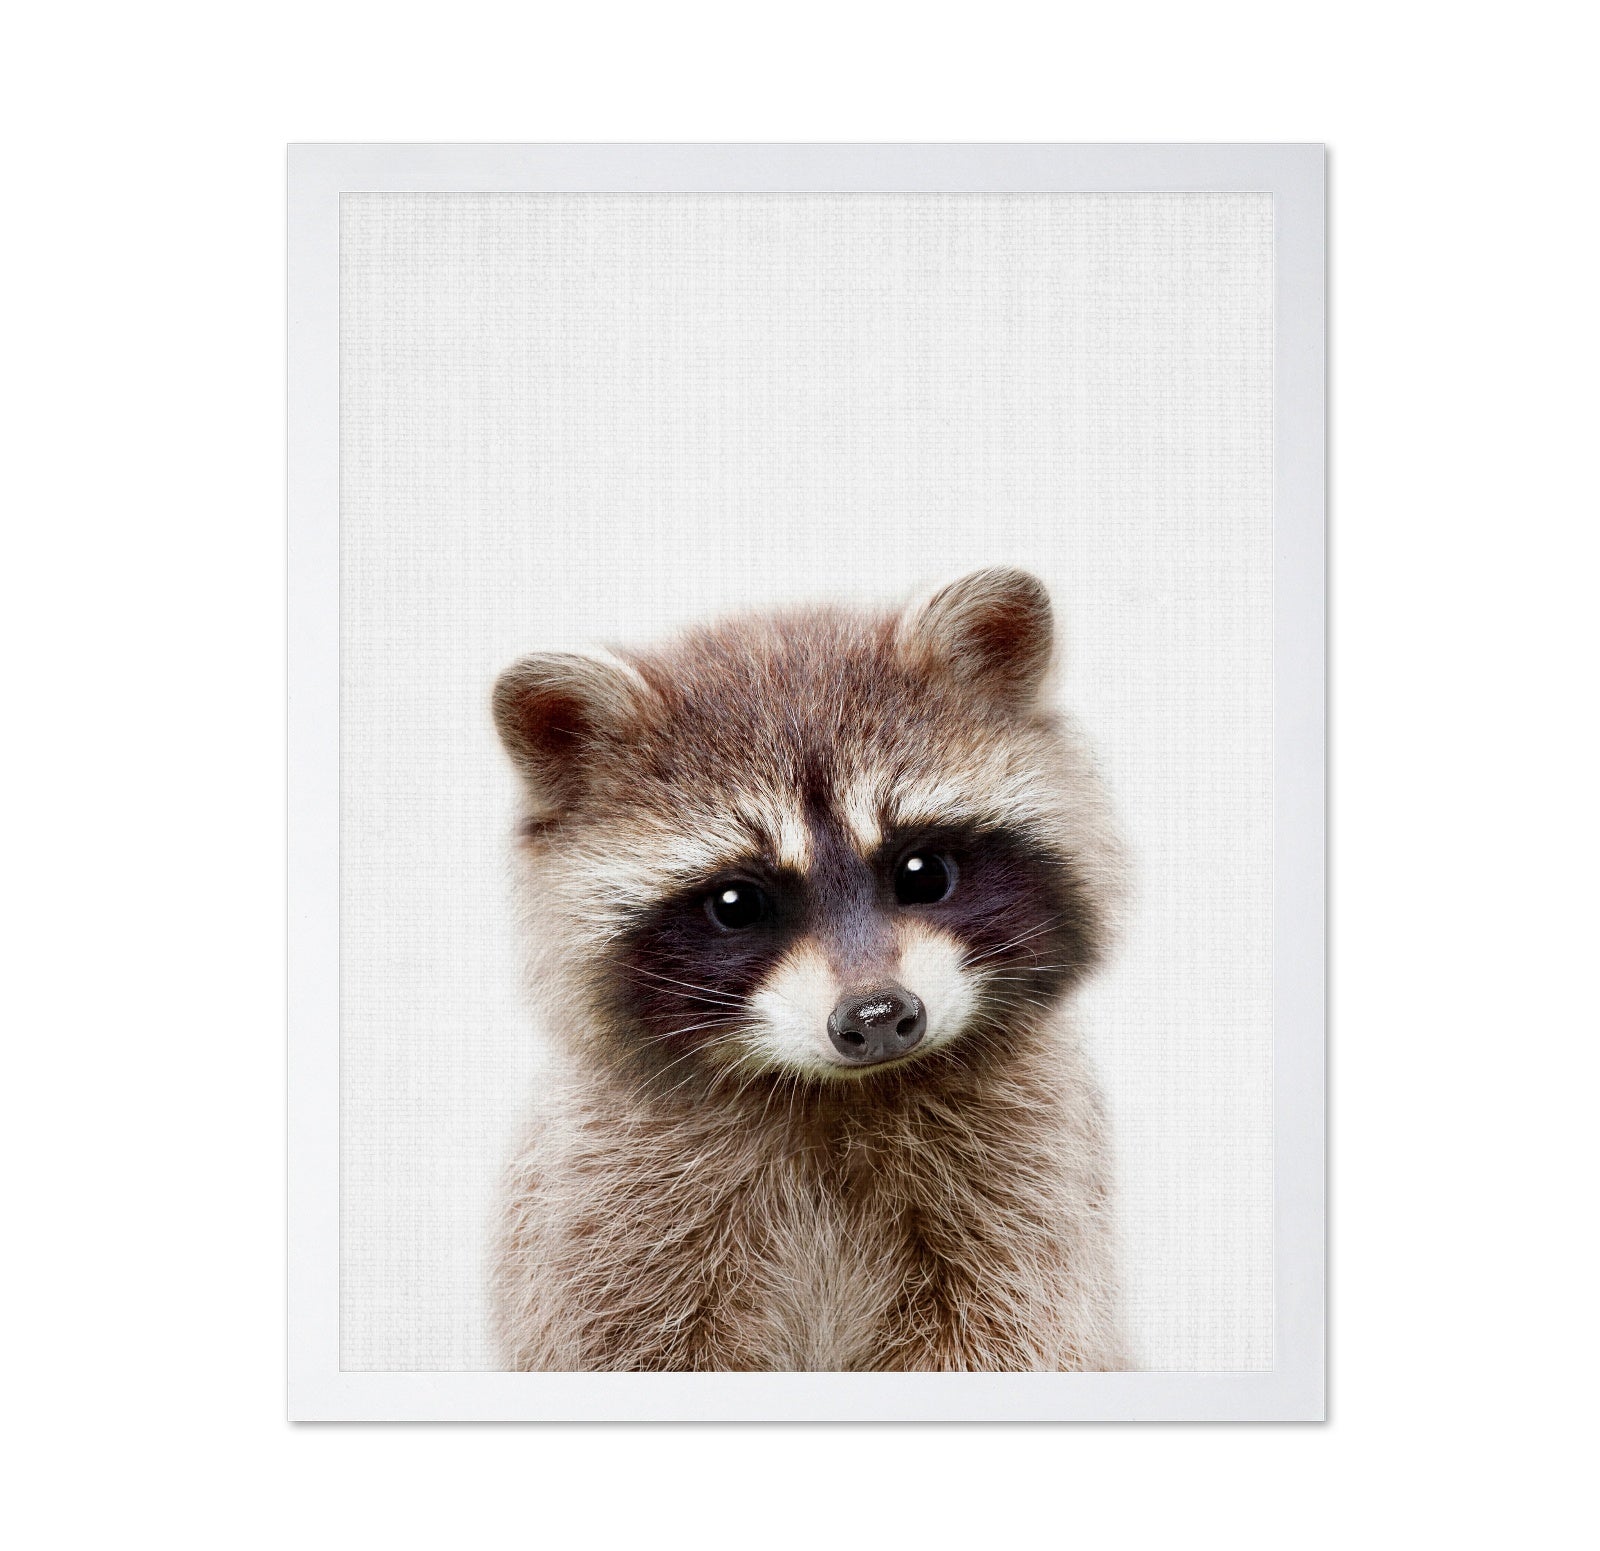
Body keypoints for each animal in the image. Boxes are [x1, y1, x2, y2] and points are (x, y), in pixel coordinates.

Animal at [490, 567, 1129, 1371]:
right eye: (736, 903)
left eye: (923, 871)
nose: (879, 1017)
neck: (834, 1094)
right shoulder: (604, 1210)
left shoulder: (1029, 1187)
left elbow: (1009, 1330)